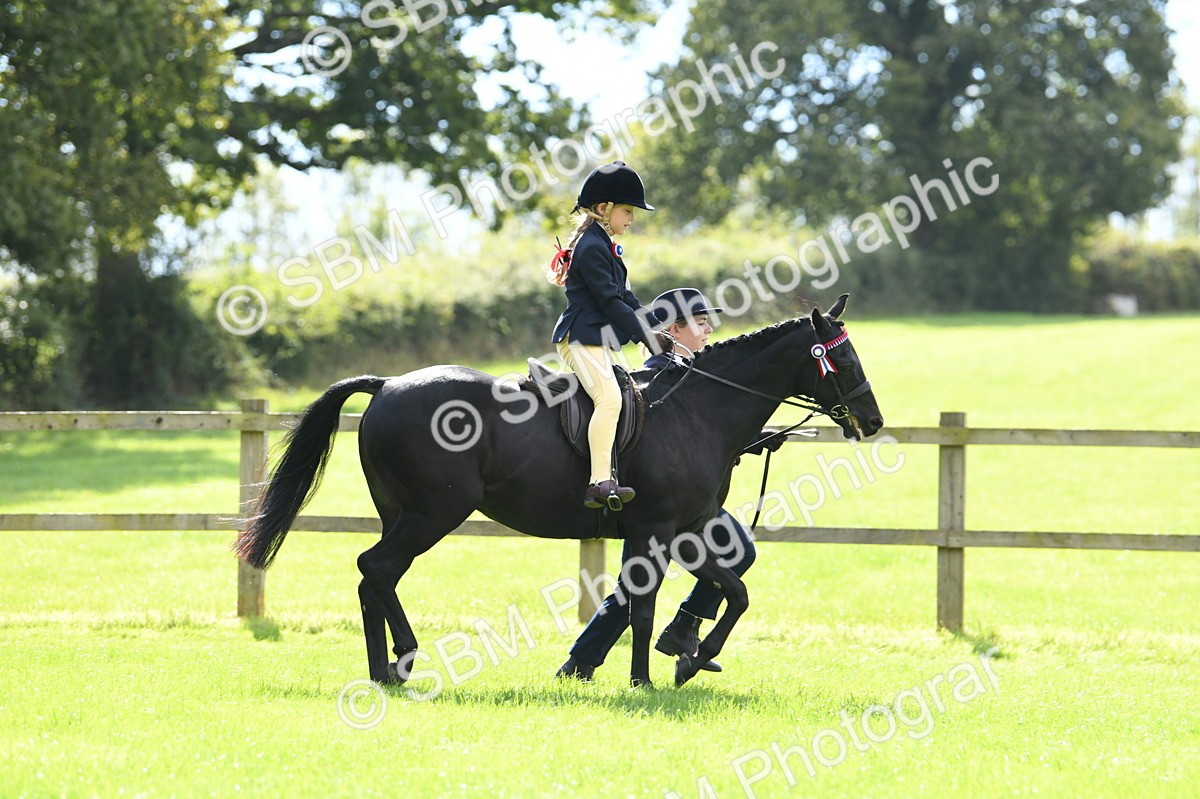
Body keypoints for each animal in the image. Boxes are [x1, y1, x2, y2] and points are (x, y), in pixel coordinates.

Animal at [234, 293, 884, 688]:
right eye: (845, 358)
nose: (873, 421)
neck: (697, 408)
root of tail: (389, 385)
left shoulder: (689, 530)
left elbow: (735, 590)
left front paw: (689, 656)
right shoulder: (656, 532)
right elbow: (647, 606)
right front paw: (647, 679)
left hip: (404, 514)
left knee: (379, 576)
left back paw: (394, 665)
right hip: (431, 514)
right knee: (377, 569)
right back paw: (393, 664)